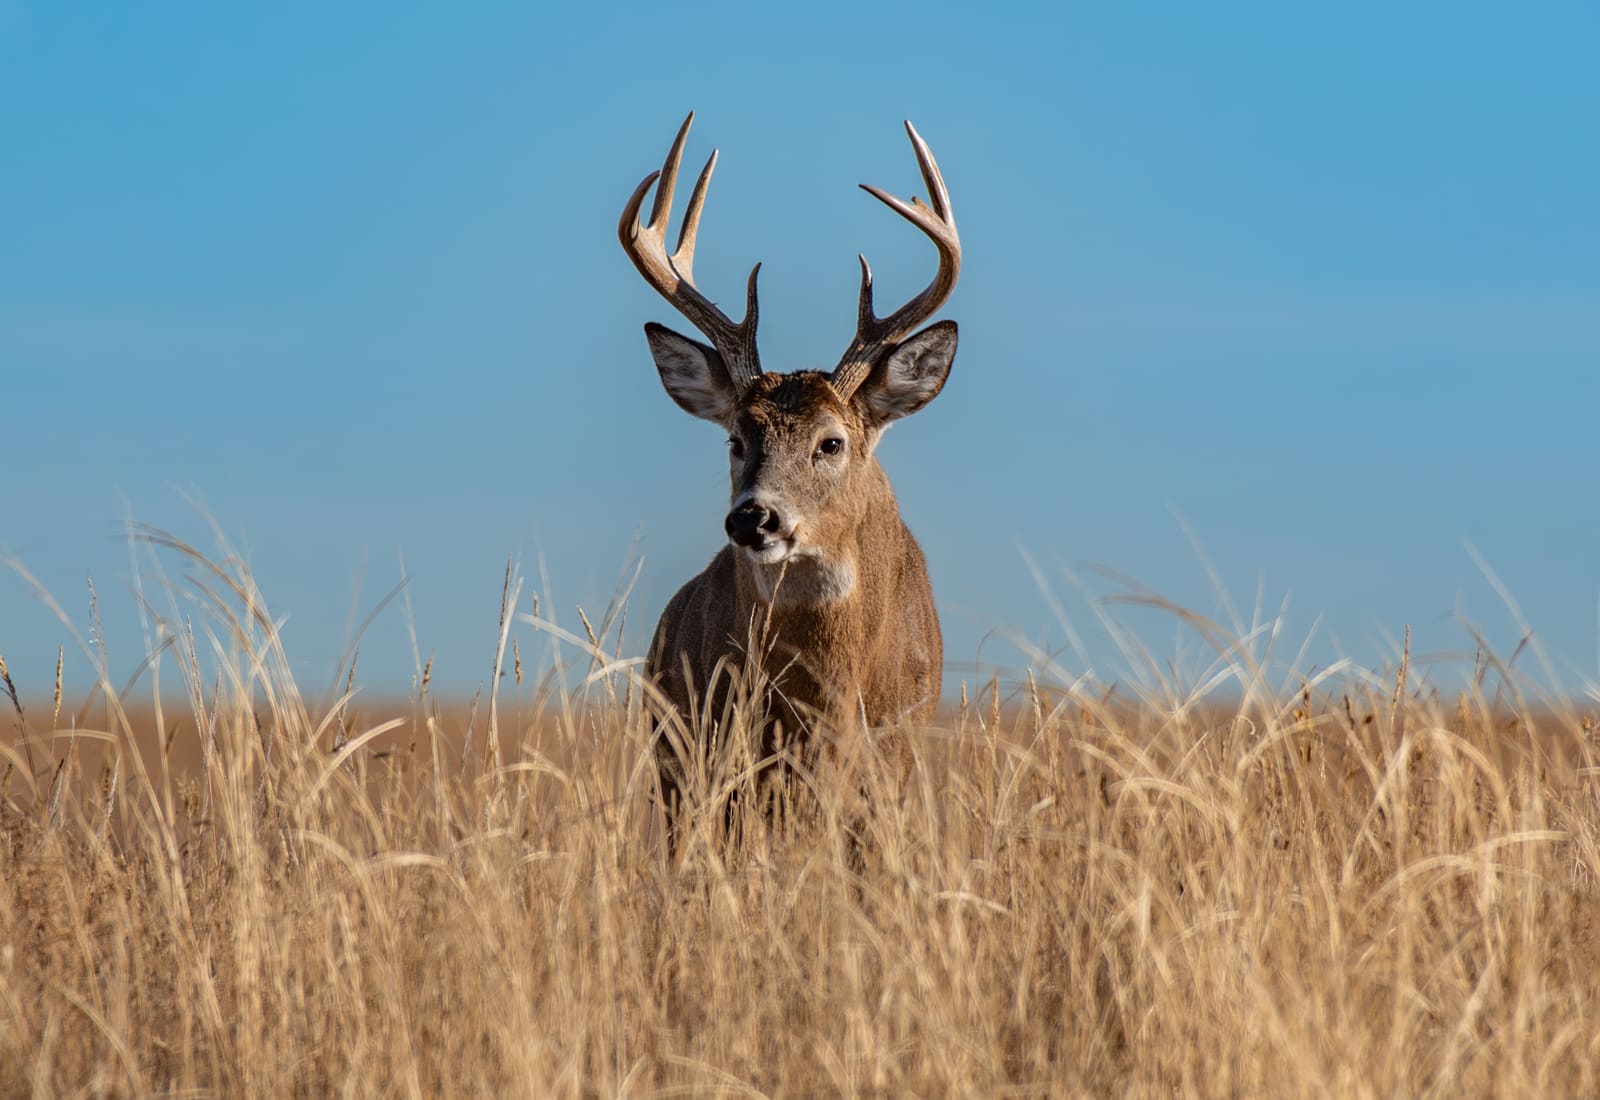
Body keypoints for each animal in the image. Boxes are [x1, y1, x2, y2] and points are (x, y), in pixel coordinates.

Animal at [618, 113, 961, 843]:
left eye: (831, 442)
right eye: (735, 439)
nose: (754, 516)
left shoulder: (896, 754)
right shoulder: (732, 751)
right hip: (676, 762)